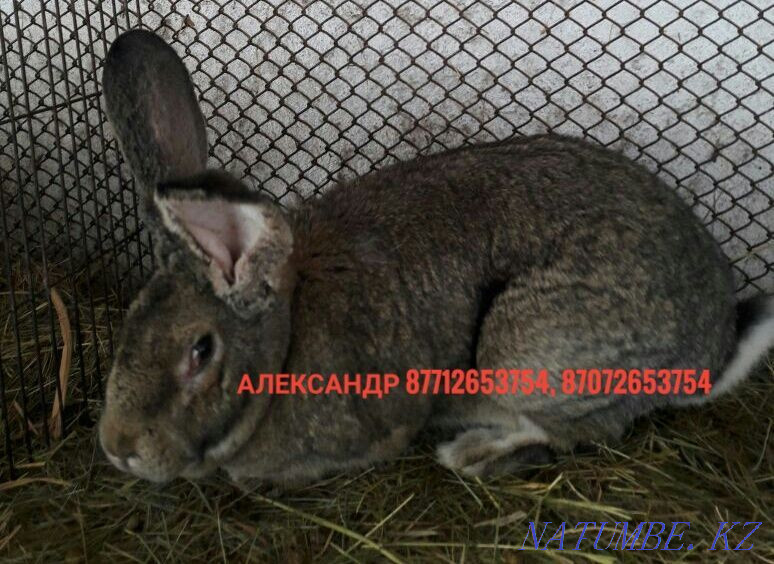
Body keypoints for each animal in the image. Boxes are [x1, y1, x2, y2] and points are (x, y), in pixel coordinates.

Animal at [98, 29, 774, 485]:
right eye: (128, 324)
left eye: (200, 351)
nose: (117, 446)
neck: (285, 340)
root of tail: (710, 353)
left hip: (524, 350)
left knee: (575, 431)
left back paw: (473, 452)